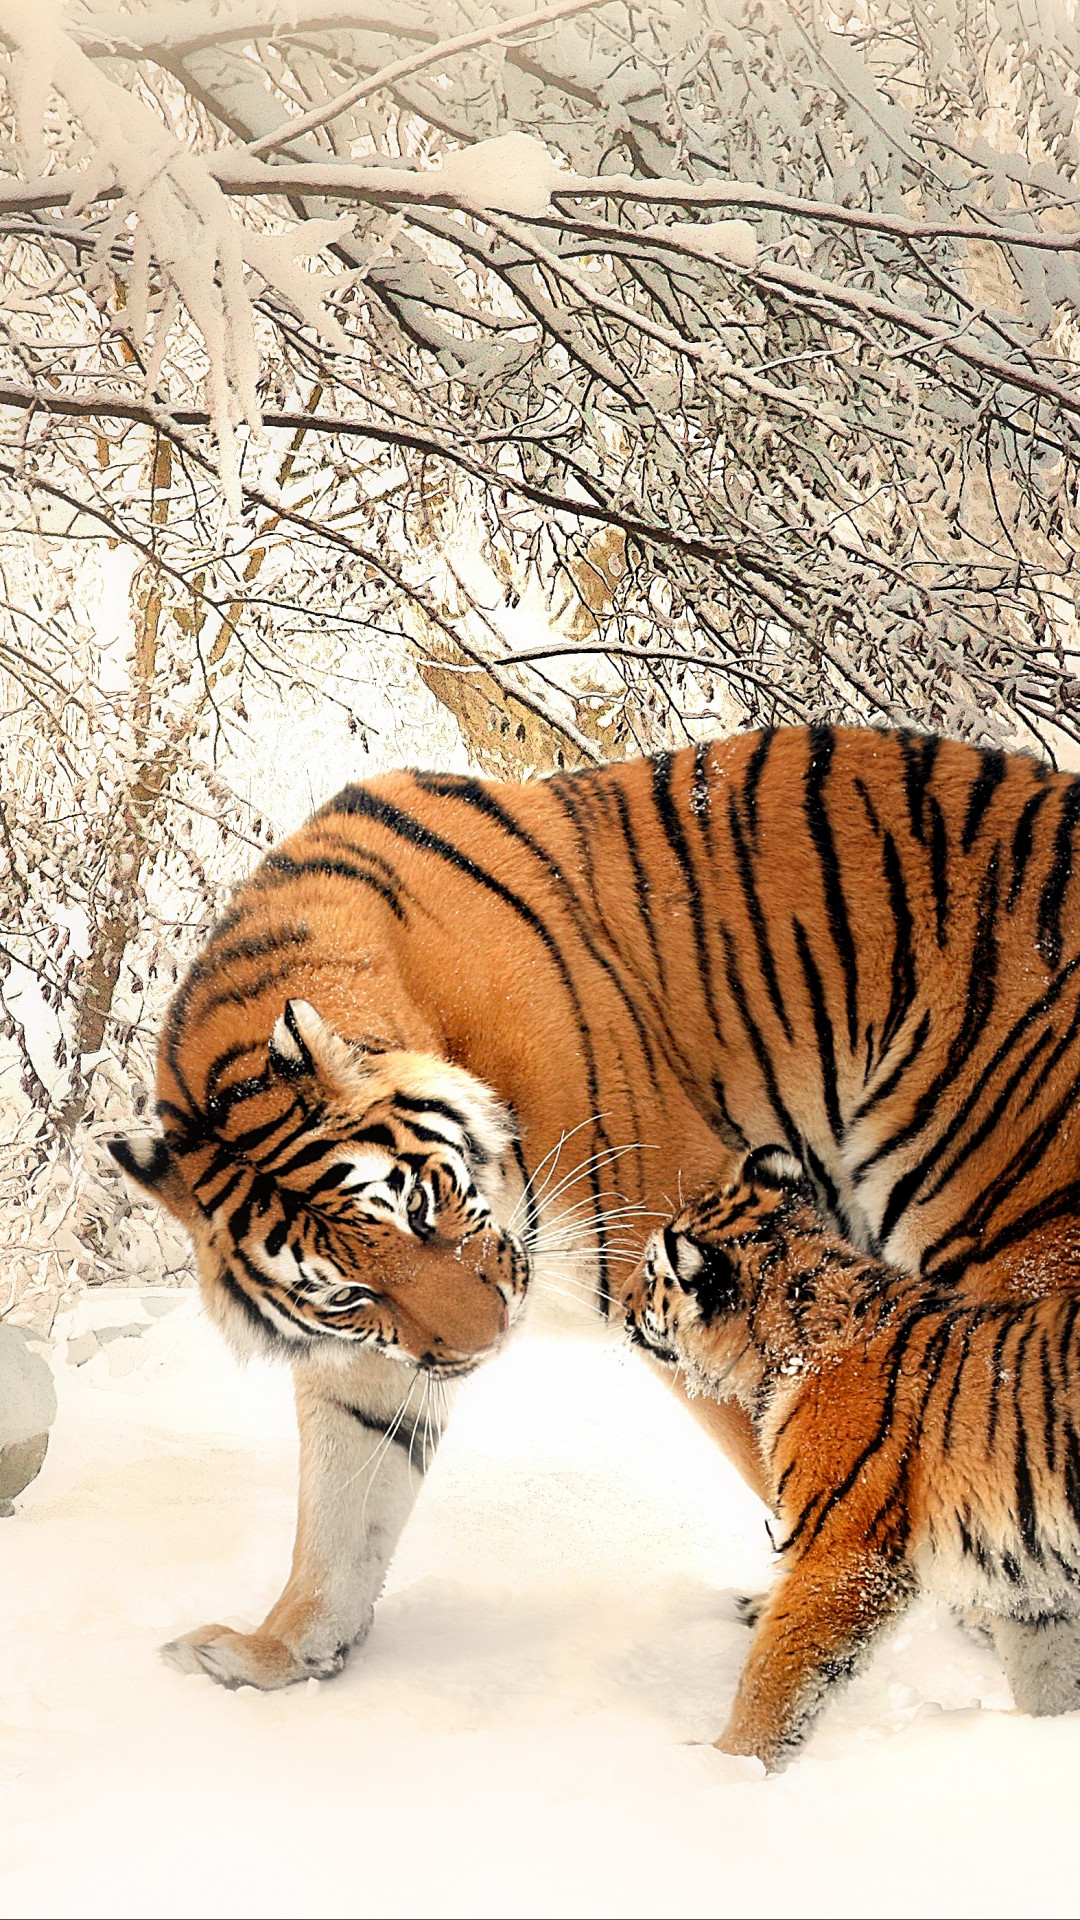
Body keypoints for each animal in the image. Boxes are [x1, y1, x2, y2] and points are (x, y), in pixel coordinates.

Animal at [109, 723, 1080, 1693]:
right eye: (348, 1294)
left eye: (419, 1207)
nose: (485, 1344)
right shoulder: (374, 1355)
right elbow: (343, 1506)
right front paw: (277, 1652)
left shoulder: (686, 1239)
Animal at [627, 1147, 1080, 1769]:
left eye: (653, 1274)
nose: (621, 1305)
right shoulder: (1032, 1590)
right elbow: (1049, 1680)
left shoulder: (841, 1554)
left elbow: (774, 1675)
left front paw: (724, 1764)